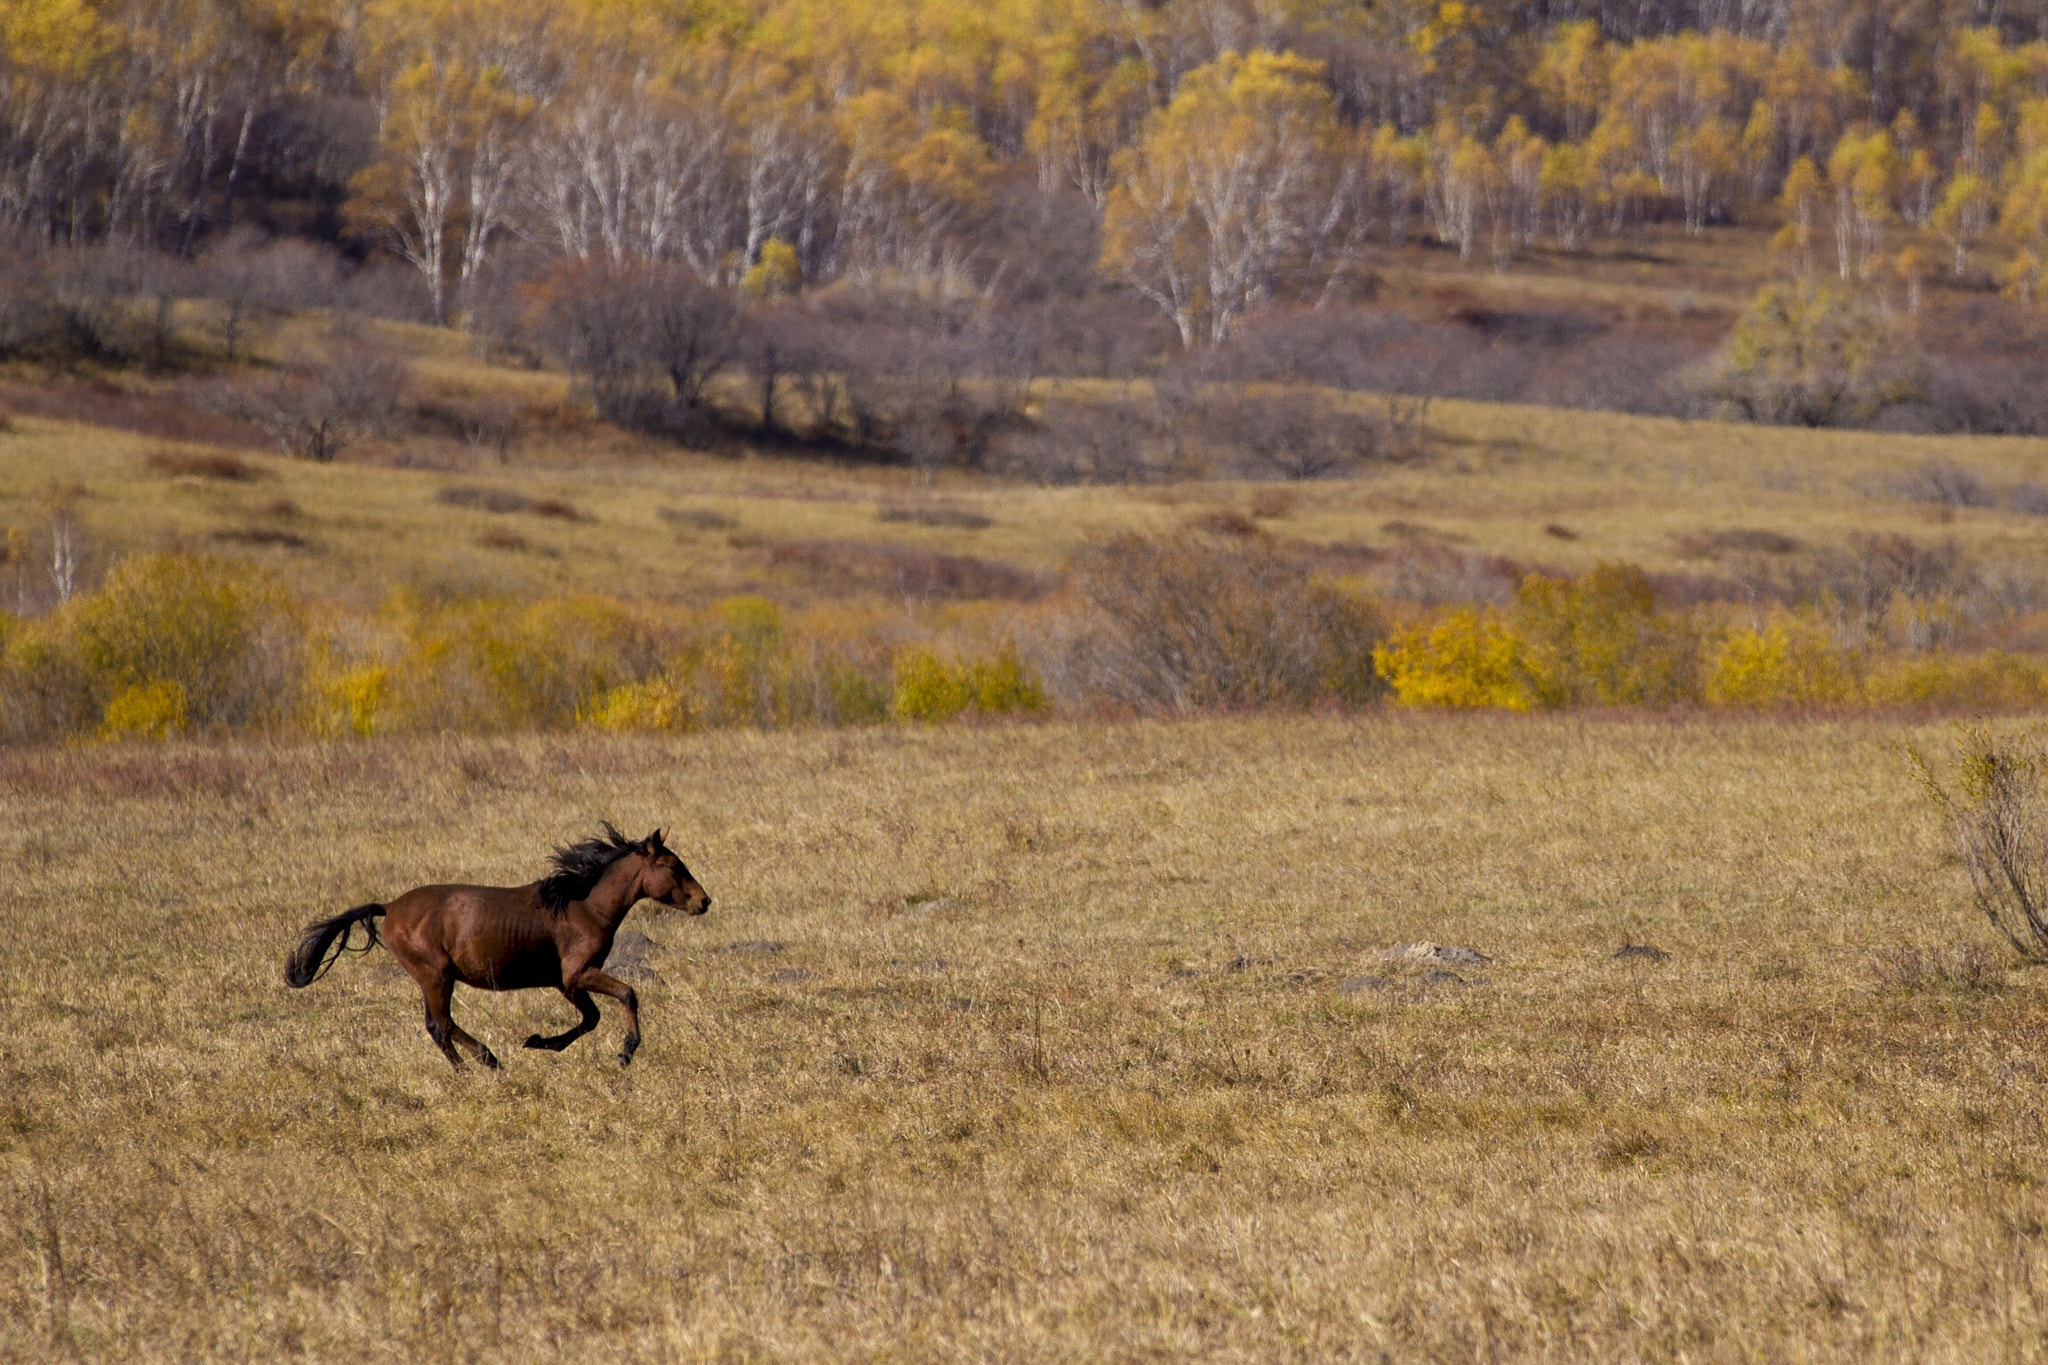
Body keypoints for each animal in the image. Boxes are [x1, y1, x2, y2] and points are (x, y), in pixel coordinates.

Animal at [284, 824, 709, 1068]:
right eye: (673, 866)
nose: (703, 901)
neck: (585, 904)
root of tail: (389, 908)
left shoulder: (566, 983)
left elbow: (590, 1019)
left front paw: (539, 1042)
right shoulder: (578, 974)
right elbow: (626, 994)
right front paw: (626, 1051)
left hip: (435, 979)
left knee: (441, 1024)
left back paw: (487, 1060)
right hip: (435, 975)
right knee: (440, 1025)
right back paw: (473, 1068)